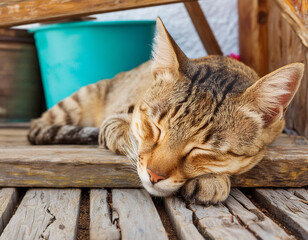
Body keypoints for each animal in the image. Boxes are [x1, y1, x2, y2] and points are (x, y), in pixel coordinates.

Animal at [27, 17, 304, 204]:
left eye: (202, 149)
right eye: (155, 127)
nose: (154, 176)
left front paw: (211, 178)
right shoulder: (116, 121)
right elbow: (129, 138)